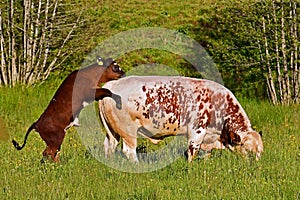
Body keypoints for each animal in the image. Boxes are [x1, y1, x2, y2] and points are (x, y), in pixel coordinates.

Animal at [98, 75, 262, 162]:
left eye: (260, 152)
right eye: (249, 150)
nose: (254, 166)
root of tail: (113, 84)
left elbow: (206, 154)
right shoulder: (197, 131)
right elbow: (192, 151)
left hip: (112, 131)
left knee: (109, 146)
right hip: (128, 131)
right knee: (129, 151)